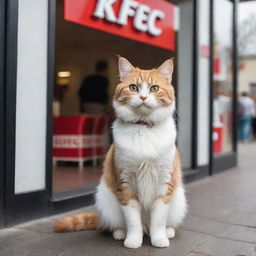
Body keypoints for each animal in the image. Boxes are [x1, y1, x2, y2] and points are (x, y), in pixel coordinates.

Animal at [54, 56, 186, 248]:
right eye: (133, 88)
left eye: (154, 88)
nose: (143, 97)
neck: (143, 128)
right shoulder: (125, 183)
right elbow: (133, 220)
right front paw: (133, 240)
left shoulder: (164, 183)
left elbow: (159, 219)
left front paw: (159, 238)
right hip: (106, 201)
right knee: (118, 225)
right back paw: (120, 233)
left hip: (178, 200)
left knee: (159, 223)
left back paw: (168, 231)